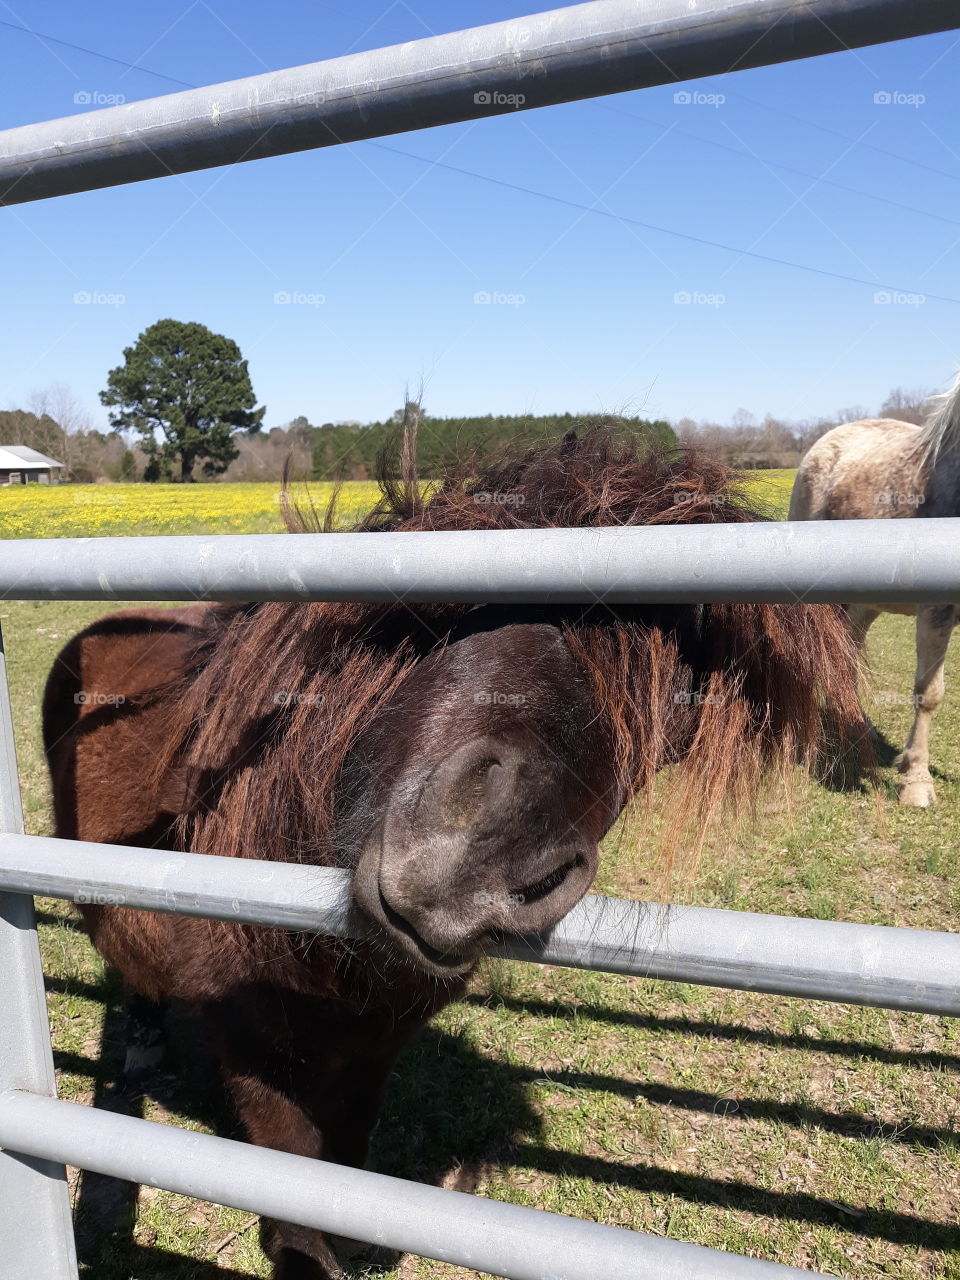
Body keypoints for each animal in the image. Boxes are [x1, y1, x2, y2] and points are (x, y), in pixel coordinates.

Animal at [43, 427, 867, 1278]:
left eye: (671, 727)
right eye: (474, 613)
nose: (479, 868)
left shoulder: (378, 1040)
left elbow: (344, 1148)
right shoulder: (255, 1048)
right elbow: (292, 1174)